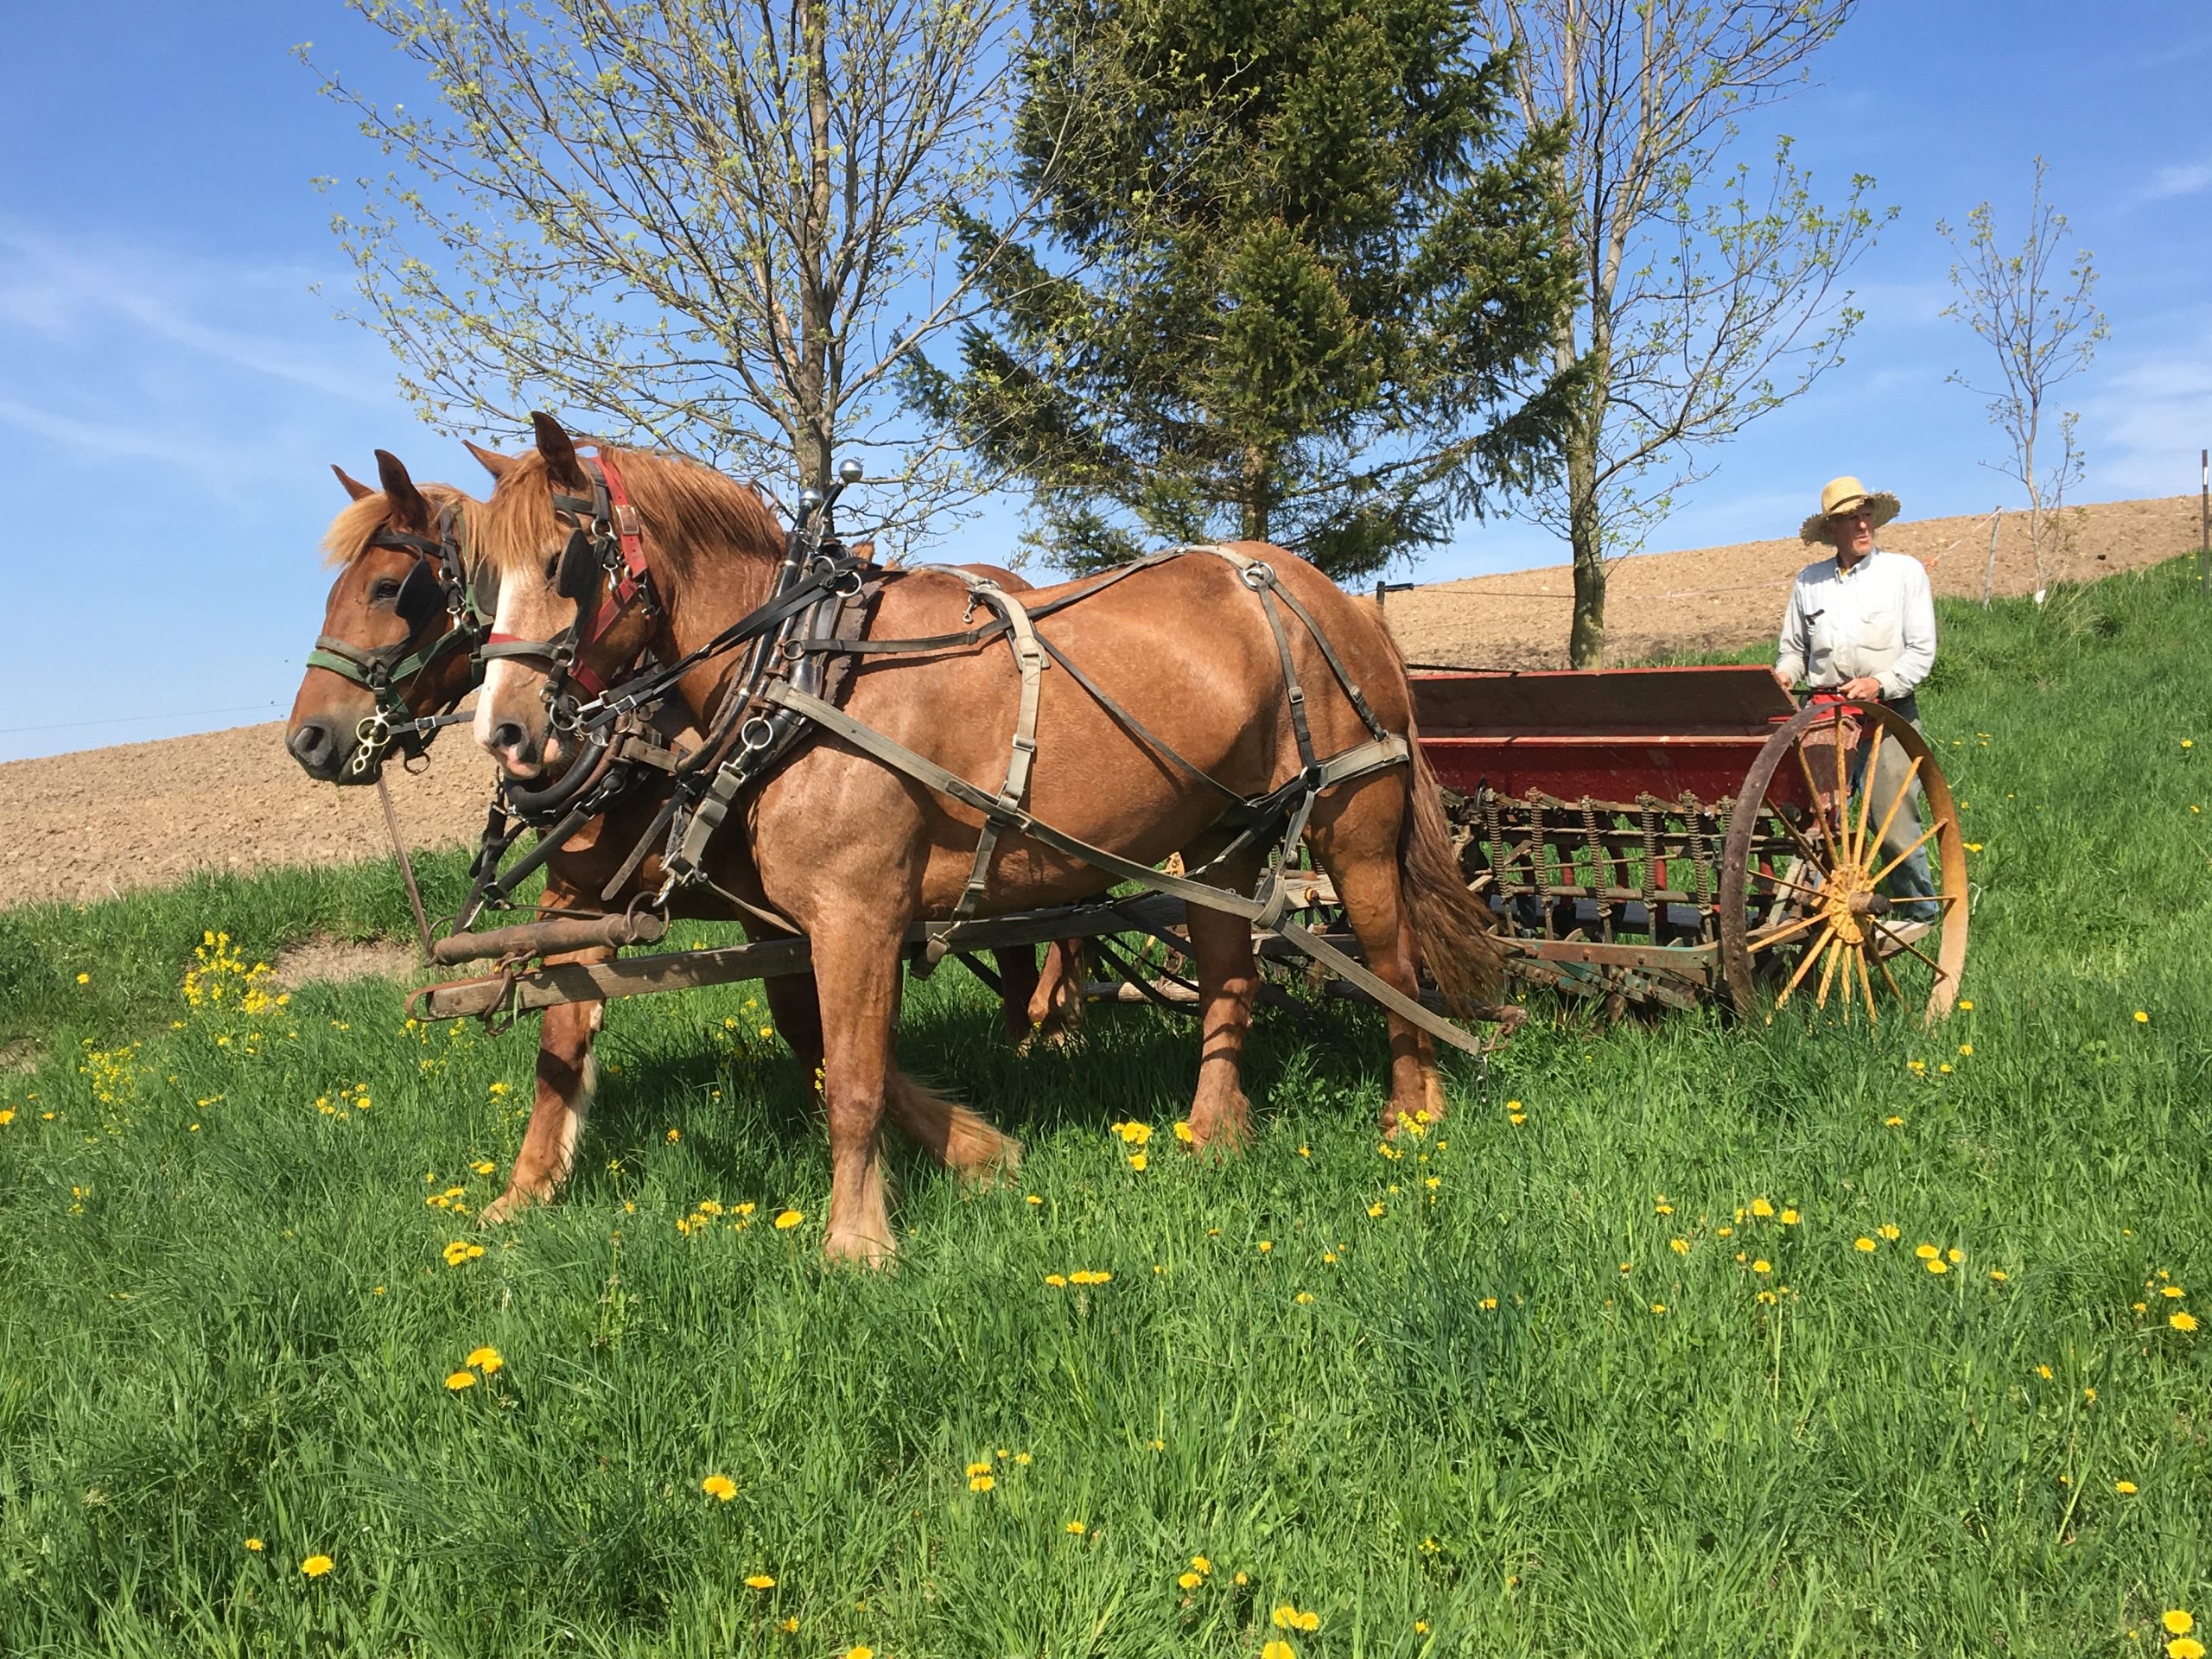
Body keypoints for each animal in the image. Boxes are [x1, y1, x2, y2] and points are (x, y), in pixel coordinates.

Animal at [289, 448, 1084, 1230]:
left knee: (1061, 927)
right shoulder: (579, 897)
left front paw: (967, 1144)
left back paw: (1057, 1022)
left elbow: (814, 1026)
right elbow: (563, 1031)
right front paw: (527, 1189)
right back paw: (1026, 1032)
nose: (308, 739)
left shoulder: (777, 905)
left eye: (392, 589)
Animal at [467, 413, 1503, 1256]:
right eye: (480, 582)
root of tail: (1336, 599)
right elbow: (825, 1053)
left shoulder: (857, 915)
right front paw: (973, 1156)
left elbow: (851, 1077)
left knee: (1390, 961)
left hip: (1354, 822)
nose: (505, 733)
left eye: (565, 561)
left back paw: (1413, 1115)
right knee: (1230, 976)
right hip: (1224, 836)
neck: (802, 669)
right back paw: (1213, 1138)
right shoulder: (795, 920)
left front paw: (858, 1243)